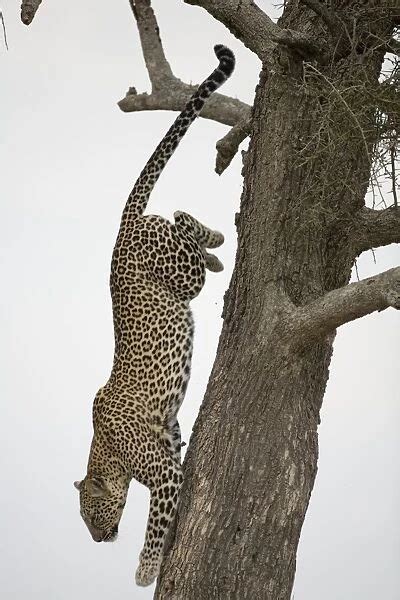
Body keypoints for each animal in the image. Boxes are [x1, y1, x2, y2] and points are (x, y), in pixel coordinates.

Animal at [74, 45, 236, 584]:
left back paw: (214, 241)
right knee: (185, 228)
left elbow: (153, 524)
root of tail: (122, 227)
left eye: (89, 515)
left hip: (178, 270)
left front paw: (146, 570)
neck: (106, 450)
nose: (97, 539)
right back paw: (217, 250)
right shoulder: (171, 444)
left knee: (182, 219)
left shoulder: (160, 470)